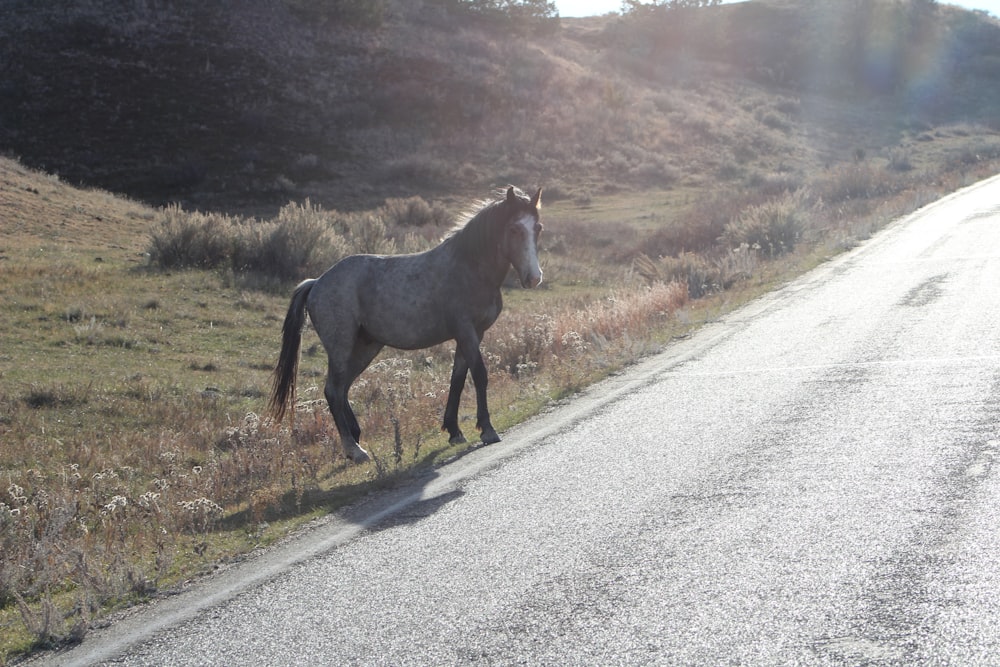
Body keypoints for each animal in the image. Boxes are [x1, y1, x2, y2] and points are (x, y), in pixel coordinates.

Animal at [270, 185, 544, 462]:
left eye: (538, 228)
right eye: (514, 229)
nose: (534, 278)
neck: (469, 267)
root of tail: (316, 282)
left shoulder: (472, 334)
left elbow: (457, 378)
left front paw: (454, 431)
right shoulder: (466, 332)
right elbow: (479, 374)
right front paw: (487, 429)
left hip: (365, 347)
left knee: (342, 388)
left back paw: (356, 436)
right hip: (341, 348)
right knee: (333, 390)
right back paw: (354, 450)